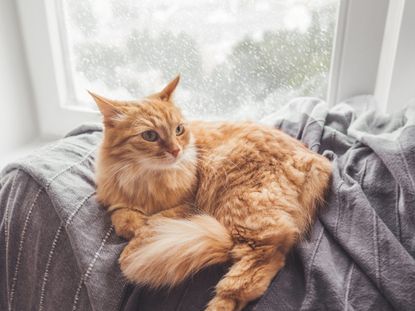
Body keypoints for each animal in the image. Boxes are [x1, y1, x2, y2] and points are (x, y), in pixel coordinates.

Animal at [90, 76, 332, 311]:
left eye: (179, 130)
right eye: (149, 135)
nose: (176, 151)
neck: (146, 178)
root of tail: (315, 159)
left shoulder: (190, 204)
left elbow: (155, 221)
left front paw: (138, 239)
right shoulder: (114, 198)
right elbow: (122, 216)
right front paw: (132, 226)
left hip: (243, 209)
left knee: (260, 261)